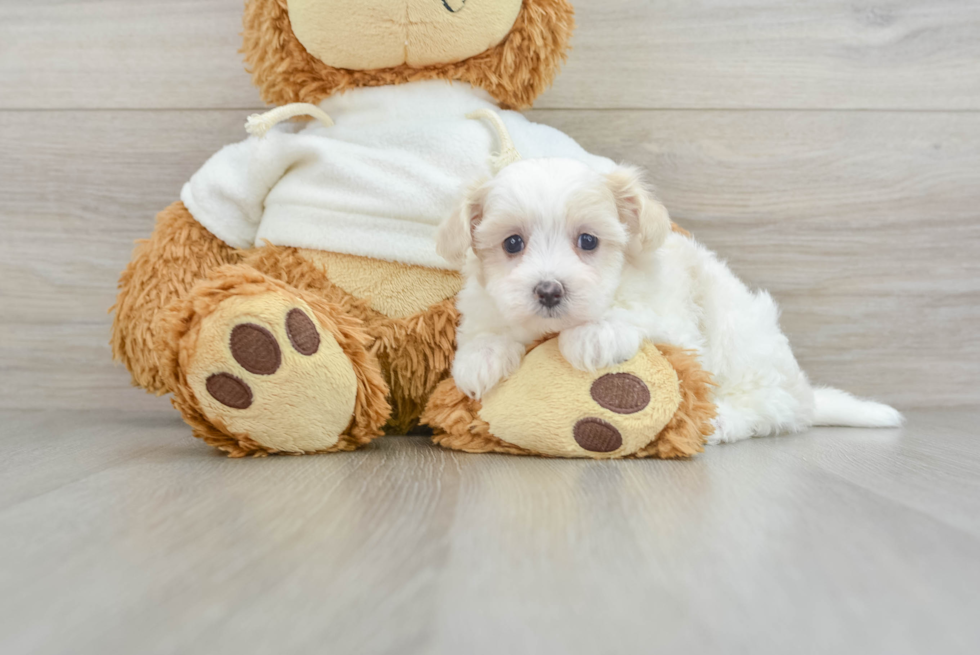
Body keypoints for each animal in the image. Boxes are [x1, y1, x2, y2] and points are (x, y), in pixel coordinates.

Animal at [438, 160, 904, 446]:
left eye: (588, 241)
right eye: (512, 243)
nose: (549, 290)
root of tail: (806, 396)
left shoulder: (673, 319)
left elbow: (631, 314)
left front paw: (594, 336)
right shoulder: (485, 305)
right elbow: (488, 329)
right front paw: (482, 358)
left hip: (742, 339)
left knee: (766, 407)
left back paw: (721, 422)